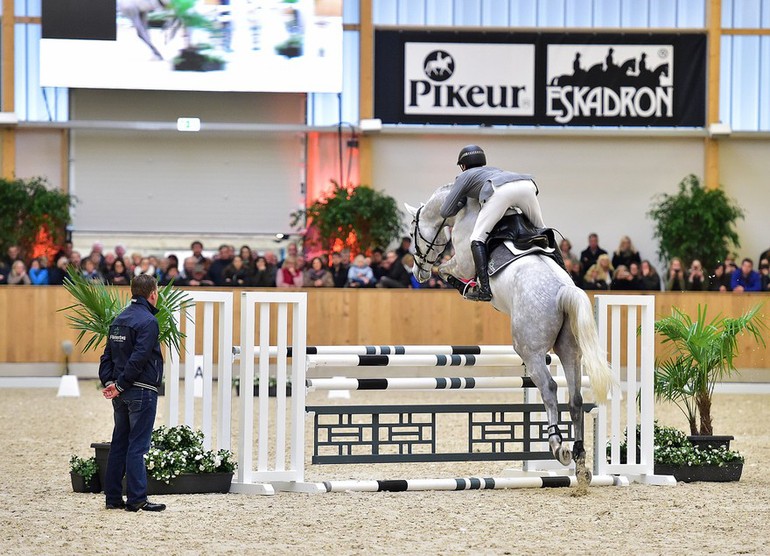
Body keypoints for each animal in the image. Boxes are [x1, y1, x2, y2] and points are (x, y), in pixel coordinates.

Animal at [402, 186, 612, 482]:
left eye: (412, 232)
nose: (417, 273)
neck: (464, 208)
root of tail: (562, 291)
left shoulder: (463, 261)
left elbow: (444, 269)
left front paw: (469, 287)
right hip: (570, 350)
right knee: (575, 398)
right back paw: (580, 460)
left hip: (530, 351)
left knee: (549, 387)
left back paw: (557, 445)